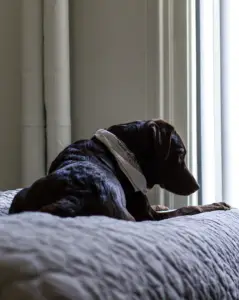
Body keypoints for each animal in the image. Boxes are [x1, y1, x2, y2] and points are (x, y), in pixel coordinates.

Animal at [8, 119, 230, 220]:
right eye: (181, 154)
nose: (197, 186)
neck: (126, 151)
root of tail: (74, 197)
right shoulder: (149, 217)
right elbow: (190, 208)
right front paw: (217, 204)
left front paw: (162, 204)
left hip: (22, 195)